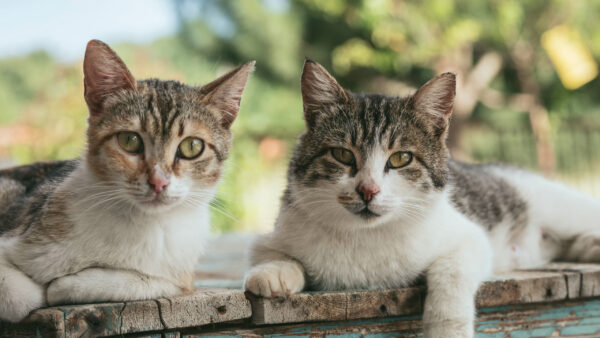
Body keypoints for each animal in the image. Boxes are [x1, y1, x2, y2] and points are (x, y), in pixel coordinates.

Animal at [0, 39, 254, 322]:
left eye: (192, 146)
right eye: (129, 141)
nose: (158, 182)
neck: (139, 224)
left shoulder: (180, 275)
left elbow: (146, 281)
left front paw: (67, 284)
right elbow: (21, 297)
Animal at [244, 60, 600, 338]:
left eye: (401, 158)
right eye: (342, 154)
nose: (368, 190)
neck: (366, 237)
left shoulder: (470, 238)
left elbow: (451, 274)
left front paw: (447, 327)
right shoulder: (280, 226)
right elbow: (271, 253)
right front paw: (274, 272)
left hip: (559, 206)